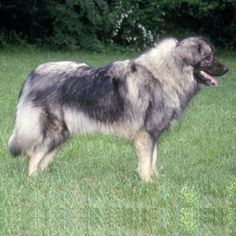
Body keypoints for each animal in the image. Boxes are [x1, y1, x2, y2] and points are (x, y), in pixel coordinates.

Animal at [8, 37, 228, 181]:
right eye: (208, 57)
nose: (227, 69)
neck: (167, 72)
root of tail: (33, 74)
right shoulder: (145, 135)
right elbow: (146, 163)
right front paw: (147, 184)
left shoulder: (153, 135)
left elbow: (153, 160)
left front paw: (155, 180)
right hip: (55, 129)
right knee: (33, 154)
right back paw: (33, 179)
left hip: (63, 132)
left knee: (42, 155)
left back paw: (45, 177)